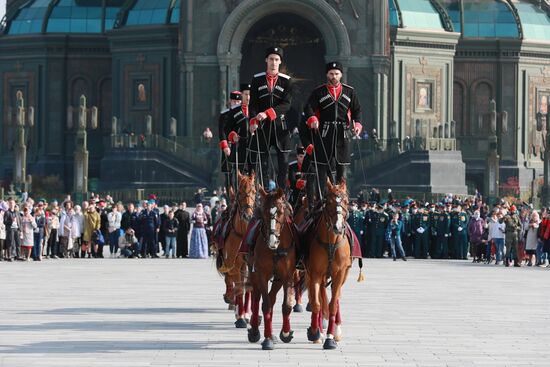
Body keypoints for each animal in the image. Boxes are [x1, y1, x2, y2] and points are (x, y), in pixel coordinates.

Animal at [217, 171, 258, 330]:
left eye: (254, 191)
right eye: (240, 192)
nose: (247, 215)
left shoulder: (251, 265)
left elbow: (248, 289)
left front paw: (247, 315)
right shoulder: (233, 264)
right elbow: (239, 288)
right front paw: (240, 318)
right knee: (231, 281)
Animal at [248, 188, 298, 352]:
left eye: (282, 211)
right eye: (263, 211)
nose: (272, 240)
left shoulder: (287, 275)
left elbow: (286, 306)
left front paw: (286, 332)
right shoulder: (261, 274)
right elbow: (265, 305)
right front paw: (268, 339)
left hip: (277, 279)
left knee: (272, 297)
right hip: (253, 273)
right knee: (257, 298)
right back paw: (255, 330)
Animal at [304, 178, 356, 350]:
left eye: (346, 201)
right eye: (329, 202)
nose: (338, 227)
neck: (331, 242)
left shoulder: (339, 273)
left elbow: (333, 303)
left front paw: (330, 337)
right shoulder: (314, 273)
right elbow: (316, 303)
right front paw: (315, 333)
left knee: (335, 297)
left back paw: (336, 329)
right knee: (318, 298)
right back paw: (317, 330)